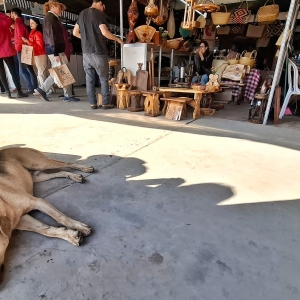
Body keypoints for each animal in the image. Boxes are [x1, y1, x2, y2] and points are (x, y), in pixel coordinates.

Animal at [0, 146, 94, 276]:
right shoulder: (20, 219)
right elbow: (45, 230)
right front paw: (71, 235)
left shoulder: (37, 202)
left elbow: (60, 217)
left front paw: (80, 227)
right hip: (36, 176)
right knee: (59, 172)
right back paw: (74, 176)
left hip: (39, 163)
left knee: (65, 163)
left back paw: (84, 168)